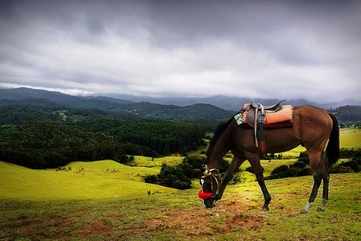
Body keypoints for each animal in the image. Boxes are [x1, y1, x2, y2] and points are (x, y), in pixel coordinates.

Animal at [198, 105, 338, 213]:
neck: (235, 131)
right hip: (320, 151)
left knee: (317, 176)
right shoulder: (240, 156)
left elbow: (259, 177)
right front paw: (217, 197)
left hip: (313, 150)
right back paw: (323, 204)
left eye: (208, 183)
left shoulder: (252, 154)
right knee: (325, 175)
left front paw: (266, 203)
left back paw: (307, 206)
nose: (207, 203)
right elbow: (227, 175)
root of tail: (326, 113)